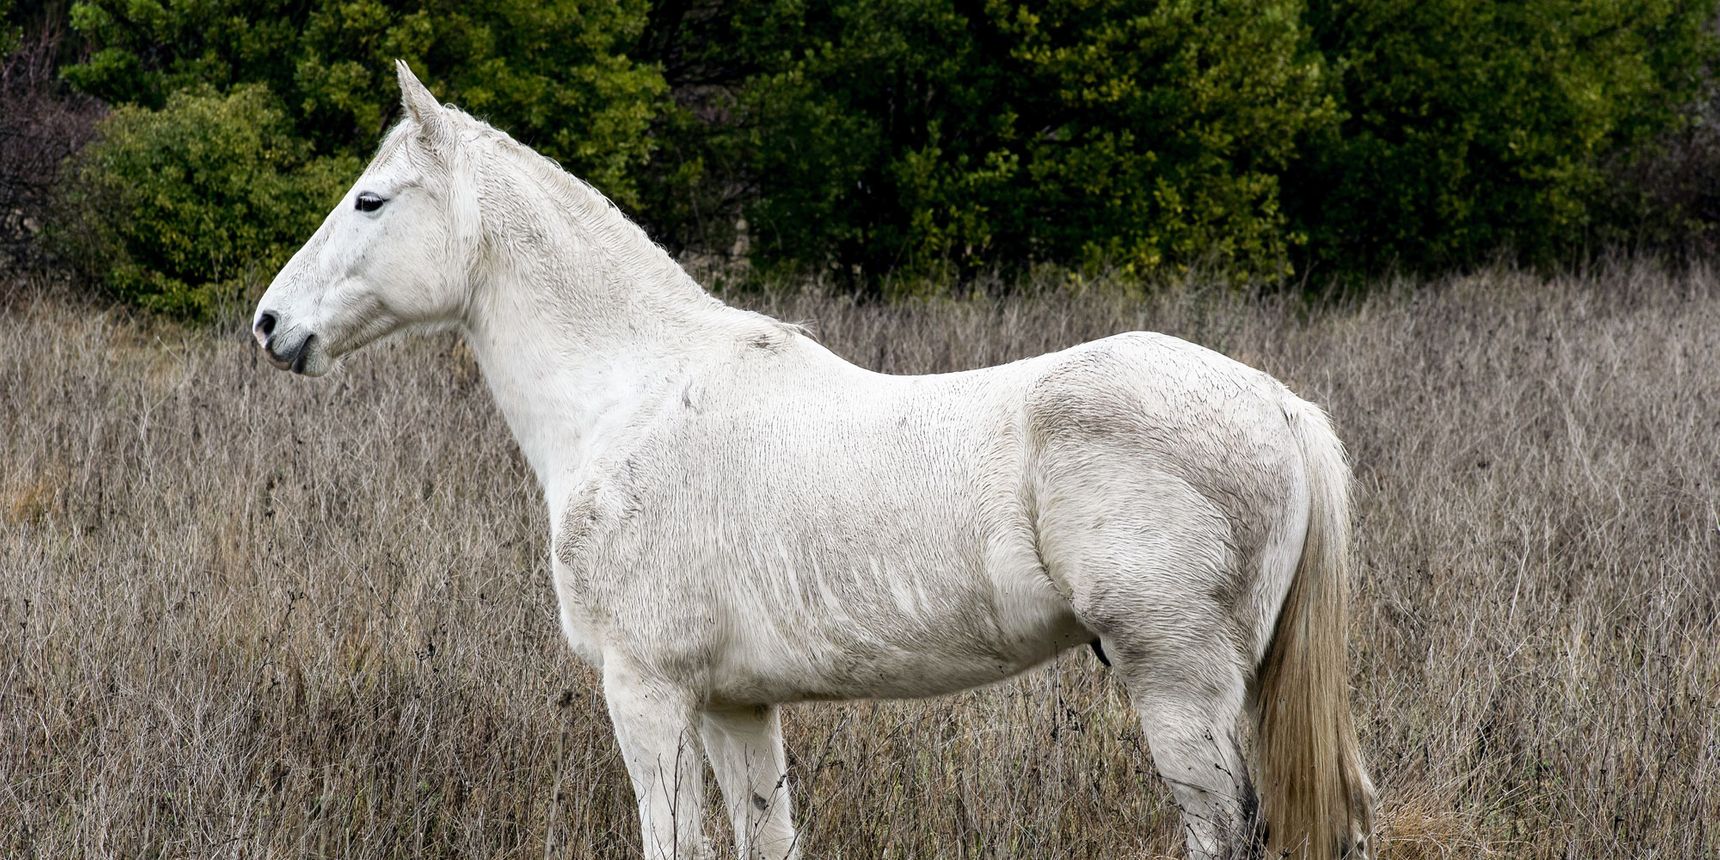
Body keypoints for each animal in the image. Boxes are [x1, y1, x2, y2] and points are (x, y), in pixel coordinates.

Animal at [252, 61, 1375, 859]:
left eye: (370, 200)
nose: (271, 324)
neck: (633, 395)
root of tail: (1280, 407)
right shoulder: (737, 704)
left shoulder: (646, 690)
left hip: (1178, 684)